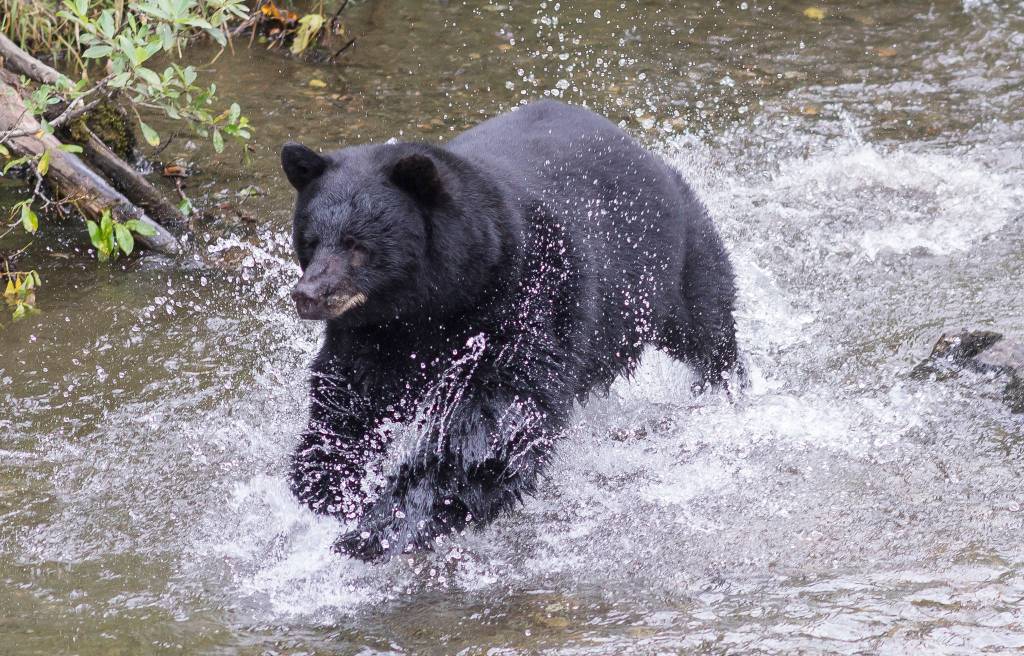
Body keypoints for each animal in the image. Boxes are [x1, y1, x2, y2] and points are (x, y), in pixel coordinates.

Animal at [280, 99, 739, 562]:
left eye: (357, 244)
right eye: (310, 241)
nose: (308, 294)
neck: (434, 304)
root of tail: (640, 149)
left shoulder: (524, 300)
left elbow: (494, 423)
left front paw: (387, 525)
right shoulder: (370, 336)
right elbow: (344, 402)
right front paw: (328, 488)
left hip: (673, 263)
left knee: (709, 325)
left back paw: (725, 388)